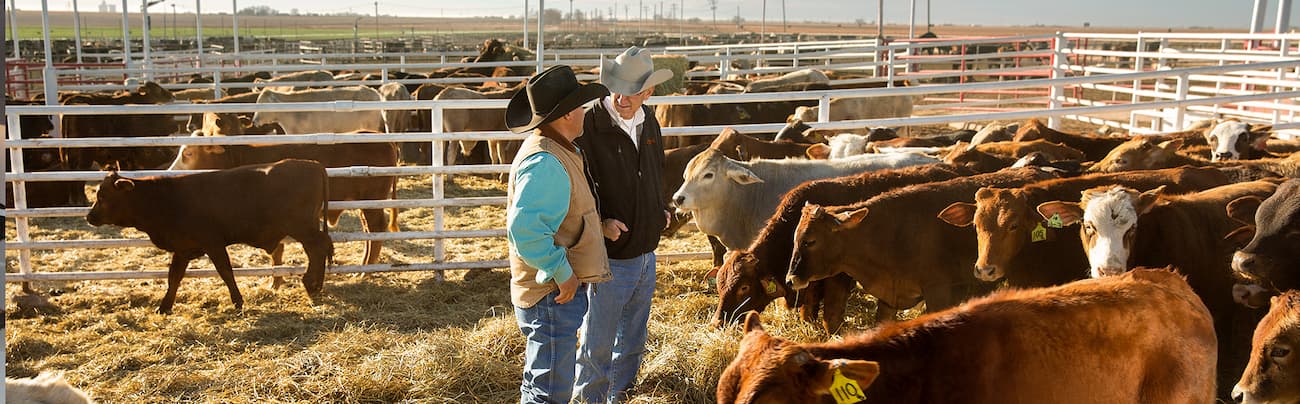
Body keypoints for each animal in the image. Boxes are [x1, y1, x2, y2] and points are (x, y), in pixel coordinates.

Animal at [84, 159, 332, 315]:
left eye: (103, 196)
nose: (89, 216)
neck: (164, 200)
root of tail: (312, 164)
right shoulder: (182, 249)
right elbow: (174, 277)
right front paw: (164, 307)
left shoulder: (213, 243)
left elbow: (225, 272)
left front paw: (238, 302)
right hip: (305, 227)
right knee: (318, 249)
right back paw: (314, 284)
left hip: (301, 227)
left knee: (319, 247)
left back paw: (311, 284)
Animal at [712, 164, 977, 332]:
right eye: (719, 284)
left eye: (744, 287)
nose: (717, 322)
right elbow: (808, 312)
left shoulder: (837, 278)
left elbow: (831, 315)